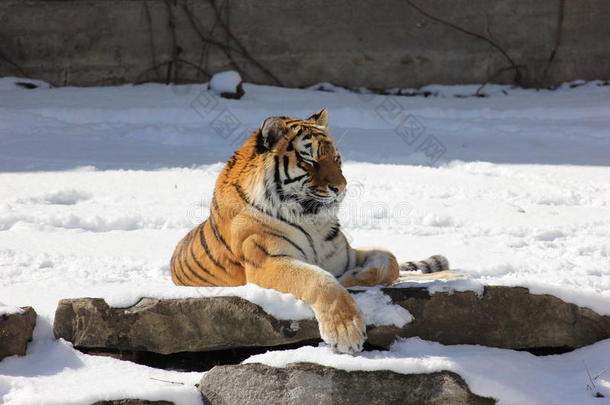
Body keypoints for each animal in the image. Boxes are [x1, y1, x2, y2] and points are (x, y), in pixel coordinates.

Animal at [169, 109, 458, 352]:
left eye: (336, 159)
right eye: (310, 162)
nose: (341, 188)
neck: (312, 219)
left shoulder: (345, 255)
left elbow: (389, 260)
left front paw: (351, 278)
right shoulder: (268, 261)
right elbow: (319, 280)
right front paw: (347, 333)